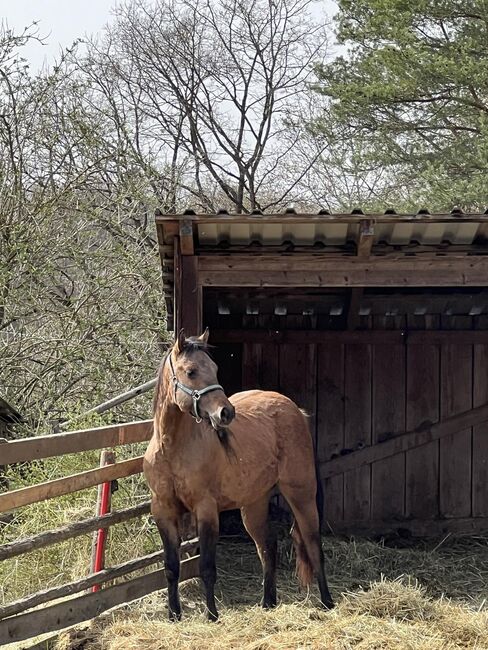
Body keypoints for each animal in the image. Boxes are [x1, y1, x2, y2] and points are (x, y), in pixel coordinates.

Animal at [143, 326, 334, 620]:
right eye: (191, 371)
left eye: (214, 368)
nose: (226, 413)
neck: (171, 448)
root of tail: (296, 411)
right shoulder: (163, 511)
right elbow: (171, 568)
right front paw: (174, 616)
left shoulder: (206, 510)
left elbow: (207, 567)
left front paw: (212, 615)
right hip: (253, 504)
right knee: (267, 545)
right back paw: (268, 602)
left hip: (301, 494)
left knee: (313, 544)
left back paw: (327, 602)